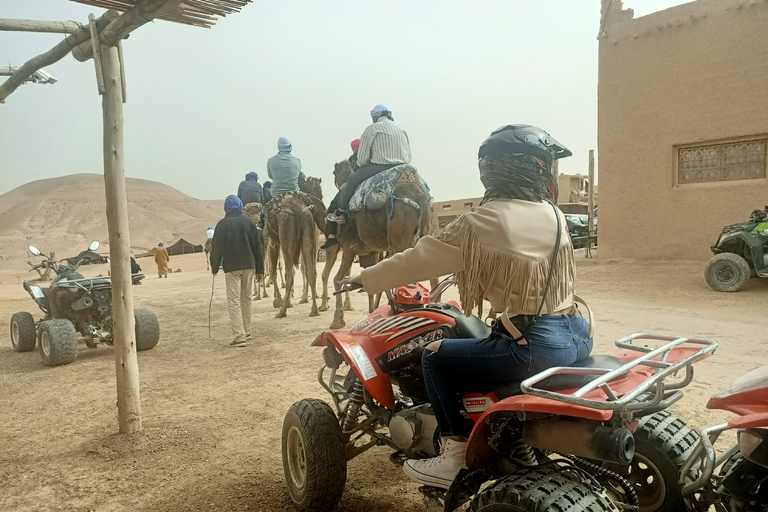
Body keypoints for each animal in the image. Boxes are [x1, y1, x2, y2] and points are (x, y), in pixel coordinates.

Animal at [322, 159, 438, 332]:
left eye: (334, 173)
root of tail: (420, 195)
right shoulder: (374, 250)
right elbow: (372, 278)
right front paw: (373, 312)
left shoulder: (349, 247)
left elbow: (338, 279)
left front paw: (338, 320)